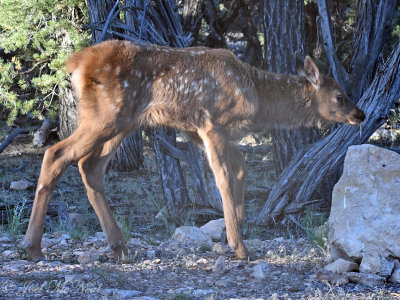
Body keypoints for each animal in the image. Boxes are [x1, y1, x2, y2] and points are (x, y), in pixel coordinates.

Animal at [25, 39, 366, 260]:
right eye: (339, 95)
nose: (360, 114)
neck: (256, 95)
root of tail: (75, 63)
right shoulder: (213, 122)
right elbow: (224, 178)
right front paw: (240, 247)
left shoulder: (203, 131)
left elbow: (240, 169)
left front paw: (235, 231)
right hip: (106, 115)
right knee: (57, 154)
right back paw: (33, 248)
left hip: (123, 123)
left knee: (89, 167)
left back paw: (119, 247)